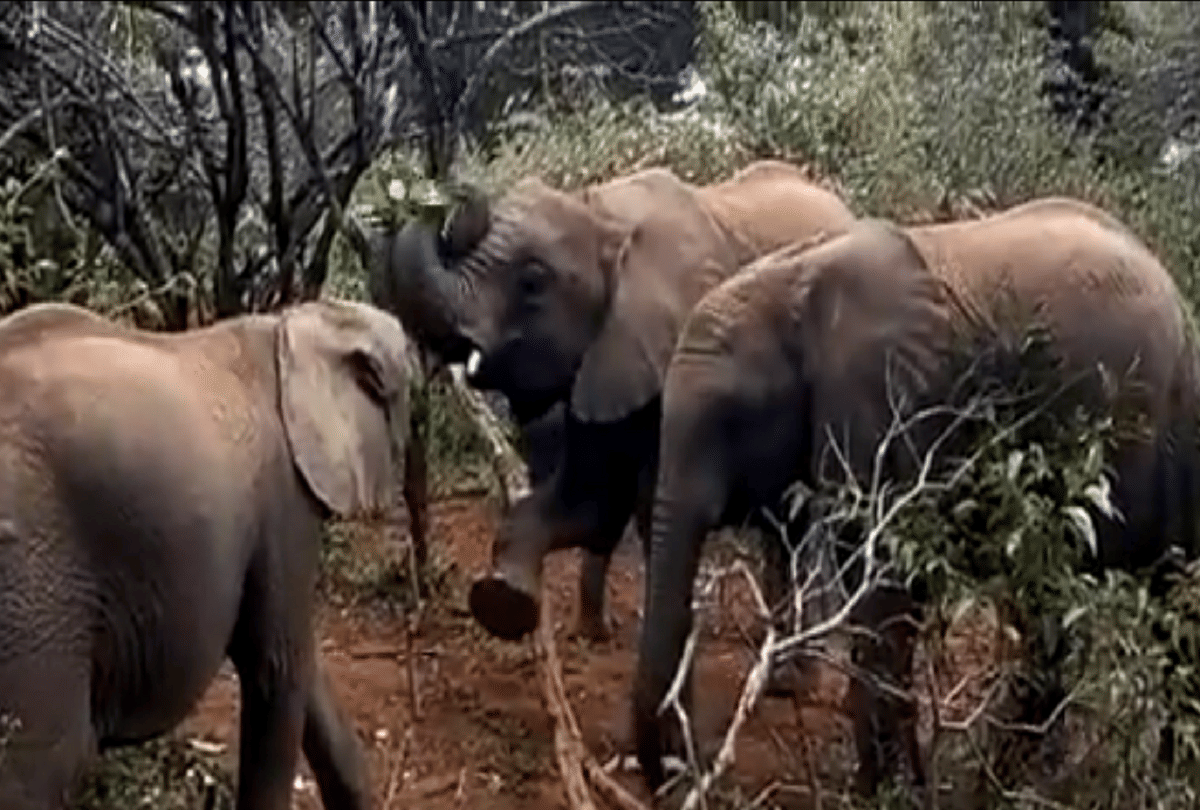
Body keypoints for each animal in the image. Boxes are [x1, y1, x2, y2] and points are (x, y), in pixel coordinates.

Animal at [0, 298, 417, 810]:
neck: (295, 323)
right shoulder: (283, 495)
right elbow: (277, 666)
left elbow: (303, 664)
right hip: (33, 582)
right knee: (39, 766)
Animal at [367, 159, 858, 644]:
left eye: (532, 281)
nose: (447, 195)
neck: (604, 217)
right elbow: (591, 504)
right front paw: (512, 604)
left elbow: (645, 511)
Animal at [630, 200, 1200, 794]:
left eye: (731, 421)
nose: (681, 766)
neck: (790, 284)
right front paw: (897, 785)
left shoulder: (888, 408)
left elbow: (884, 595)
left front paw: (879, 793)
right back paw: (1016, 778)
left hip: (1172, 429)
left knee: (1174, 605)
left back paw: (1164, 779)